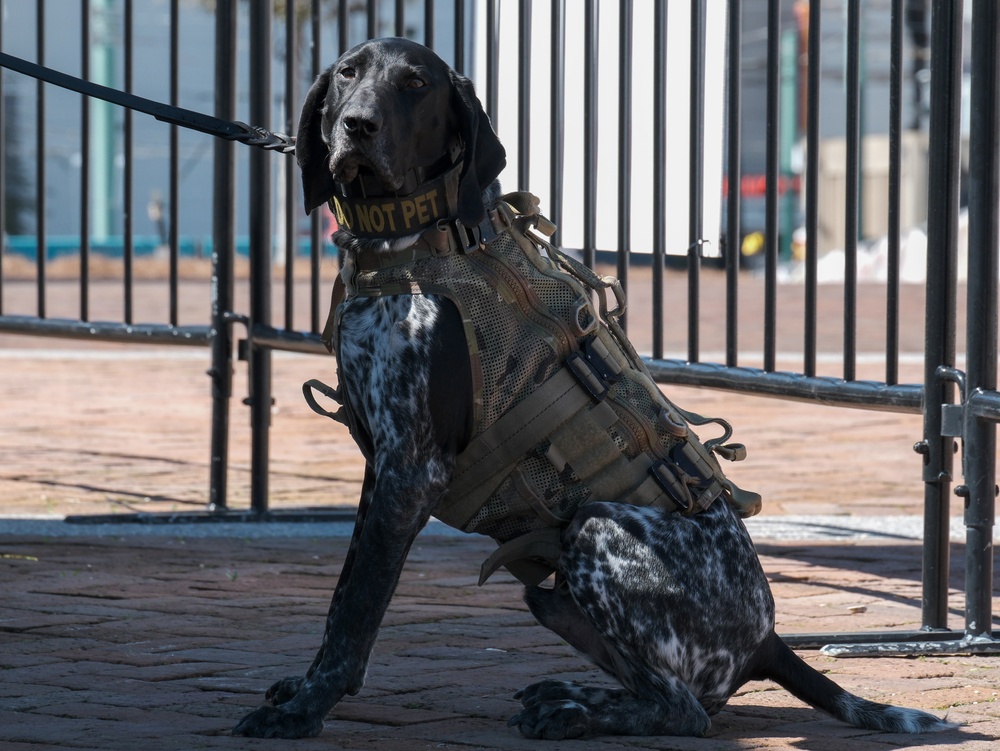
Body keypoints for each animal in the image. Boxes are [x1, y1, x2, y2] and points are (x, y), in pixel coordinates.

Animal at [232, 36, 952, 740]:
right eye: (347, 74)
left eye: (414, 83)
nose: (357, 125)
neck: (409, 240)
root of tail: (768, 639)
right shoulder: (381, 465)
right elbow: (343, 596)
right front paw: (304, 690)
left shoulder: (410, 469)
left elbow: (356, 610)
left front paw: (304, 710)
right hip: (549, 593)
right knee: (680, 695)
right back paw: (573, 695)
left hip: (594, 529)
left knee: (685, 710)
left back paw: (574, 713)